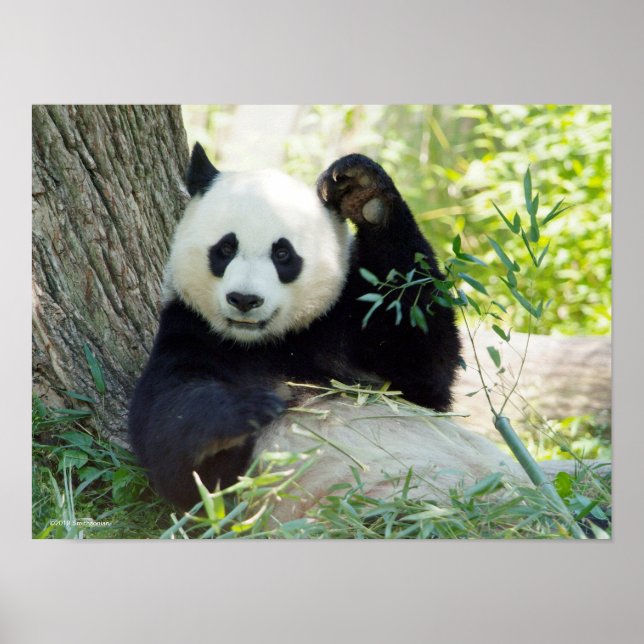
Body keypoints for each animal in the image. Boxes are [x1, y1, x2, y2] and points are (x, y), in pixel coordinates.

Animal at [128, 143, 523, 520]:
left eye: (283, 254)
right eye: (225, 248)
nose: (244, 299)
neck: (268, 343)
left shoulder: (342, 325)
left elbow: (423, 363)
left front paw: (363, 190)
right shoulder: (190, 333)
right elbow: (174, 447)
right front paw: (250, 408)